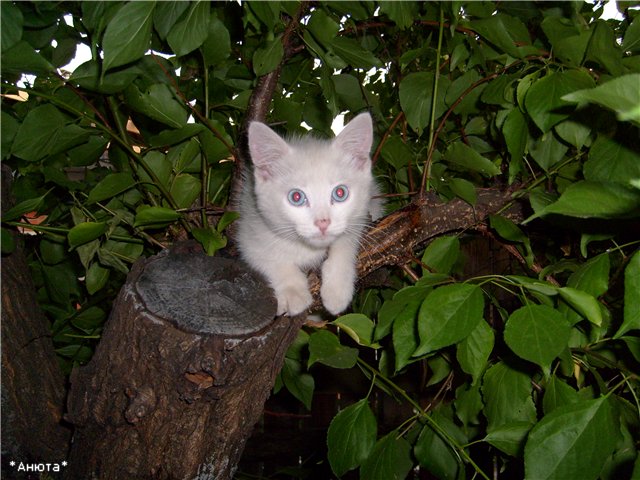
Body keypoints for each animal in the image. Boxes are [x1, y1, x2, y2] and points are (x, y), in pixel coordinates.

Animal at [239, 111, 380, 316]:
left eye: (340, 193)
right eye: (296, 197)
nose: (323, 222)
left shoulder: (366, 212)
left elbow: (346, 242)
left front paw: (337, 289)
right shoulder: (250, 229)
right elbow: (267, 258)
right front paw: (293, 293)